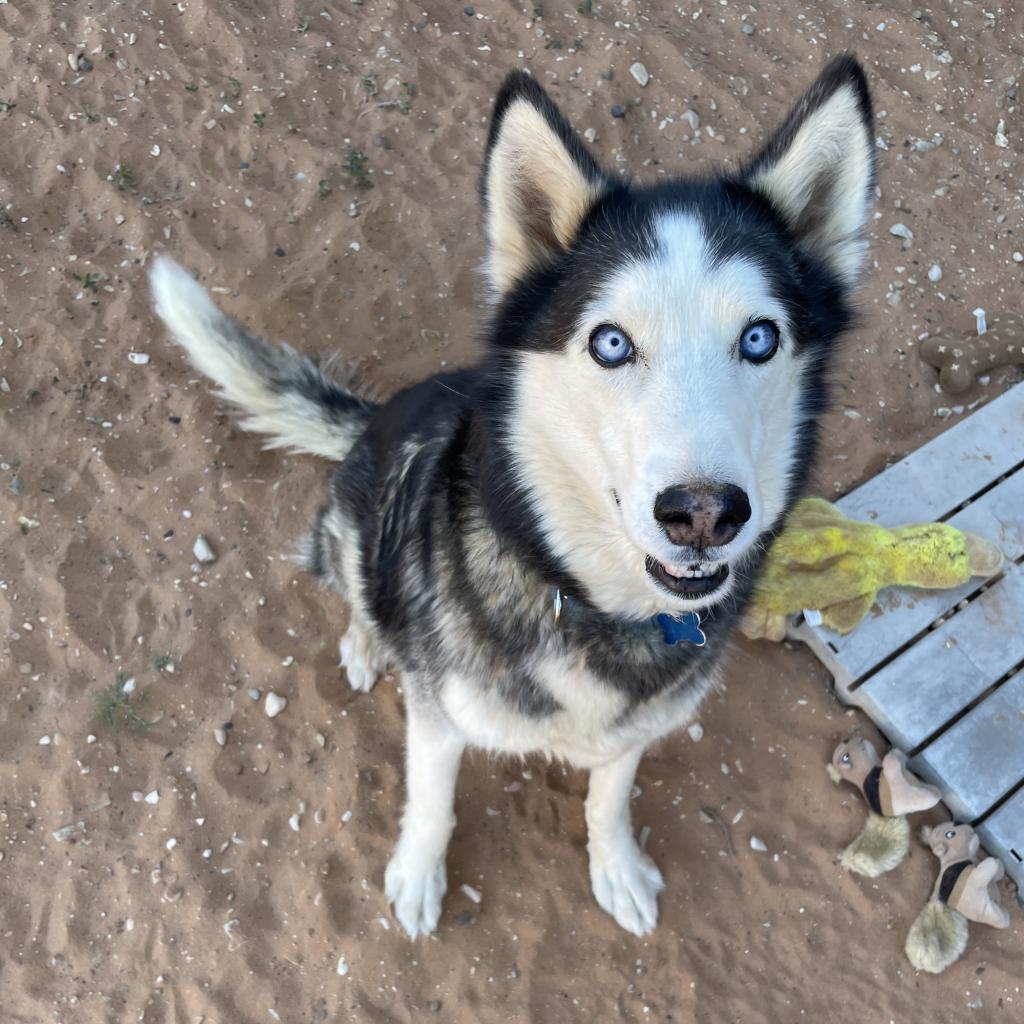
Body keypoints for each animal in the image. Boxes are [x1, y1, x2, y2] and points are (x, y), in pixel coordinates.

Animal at [149, 54, 872, 937]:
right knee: (356, 588)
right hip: (356, 519)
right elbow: (432, 802)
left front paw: (615, 866)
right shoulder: (439, 714)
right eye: (611, 343)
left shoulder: (640, 726)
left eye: (760, 338)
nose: (704, 512)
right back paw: (368, 643)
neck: (589, 605)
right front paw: (417, 876)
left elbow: (609, 794)